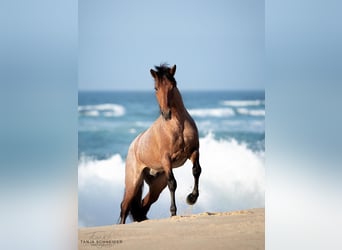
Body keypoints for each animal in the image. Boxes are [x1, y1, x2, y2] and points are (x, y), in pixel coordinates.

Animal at [119, 63, 202, 224]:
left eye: (172, 86)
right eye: (156, 88)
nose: (166, 113)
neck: (178, 125)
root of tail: (134, 145)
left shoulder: (194, 151)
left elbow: (196, 171)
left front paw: (192, 198)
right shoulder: (166, 160)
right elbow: (173, 183)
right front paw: (173, 212)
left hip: (156, 184)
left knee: (144, 204)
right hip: (133, 182)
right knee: (124, 206)